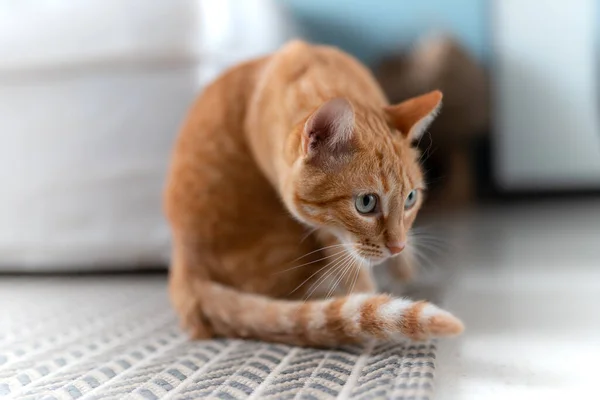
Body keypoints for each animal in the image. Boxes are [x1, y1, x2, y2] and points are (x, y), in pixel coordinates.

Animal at [164, 41, 464, 346]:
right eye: (366, 203)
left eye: (411, 199)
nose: (397, 247)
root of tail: (184, 269)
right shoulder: (326, 231)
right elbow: (354, 274)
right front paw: (372, 299)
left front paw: (406, 265)